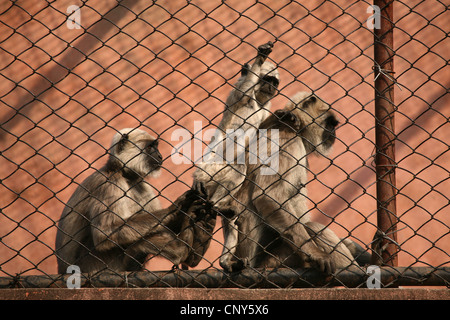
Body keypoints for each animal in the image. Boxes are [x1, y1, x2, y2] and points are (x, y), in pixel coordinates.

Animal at [55, 129, 214, 274]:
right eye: (150, 147)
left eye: (156, 147)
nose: (160, 155)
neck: (123, 174)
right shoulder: (109, 184)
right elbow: (104, 232)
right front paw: (179, 207)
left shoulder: (141, 184)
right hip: (95, 265)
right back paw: (180, 250)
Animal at [192, 41, 280, 268]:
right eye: (267, 79)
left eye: (274, 81)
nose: (272, 87)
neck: (258, 100)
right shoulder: (239, 92)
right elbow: (244, 89)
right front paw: (260, 58)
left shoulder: (266, 105)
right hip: (209, 171)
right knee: (237, 169)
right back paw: (216, 205)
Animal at [221, 92, 362, 272]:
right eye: (330, 124)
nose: (333, 134)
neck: (295, 128)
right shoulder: (286, 142)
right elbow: (268, 195)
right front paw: (317, 254)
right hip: (276, 260)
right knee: (313, 227)